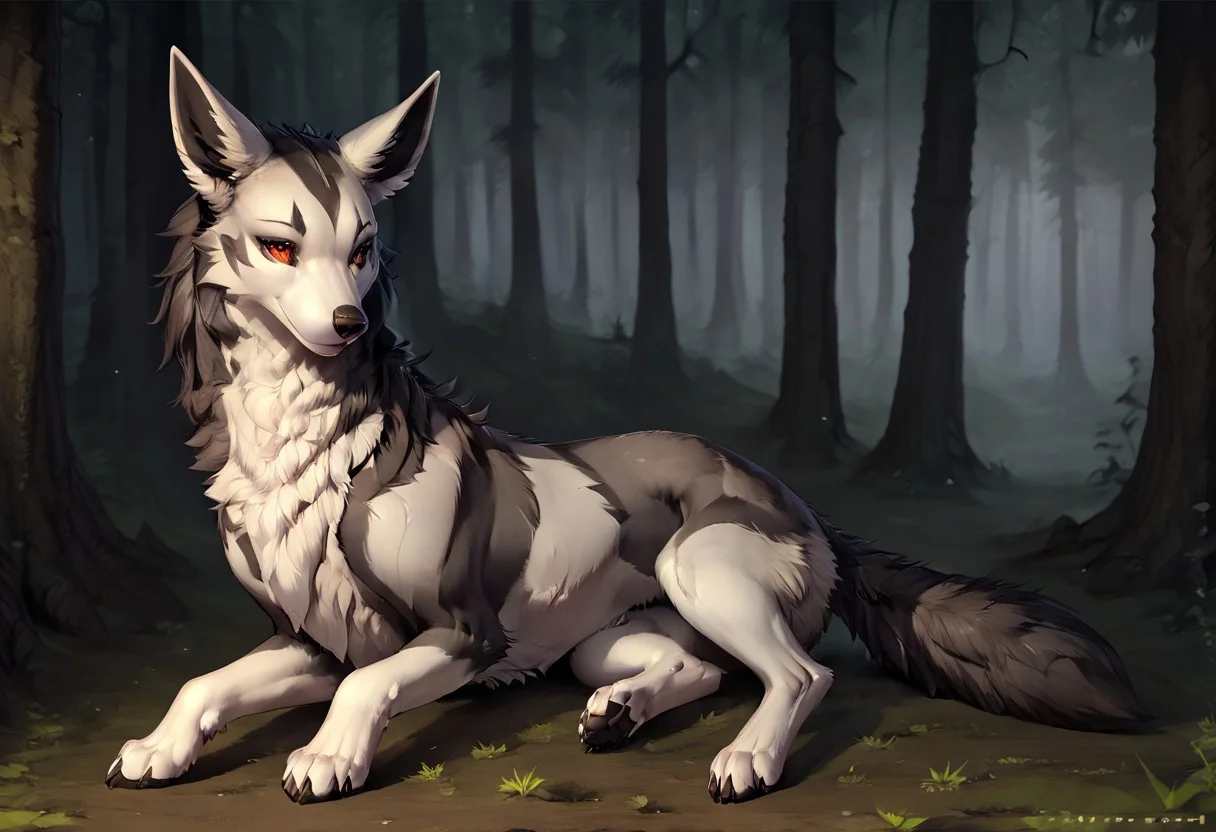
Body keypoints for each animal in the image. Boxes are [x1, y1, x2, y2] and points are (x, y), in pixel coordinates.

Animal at [106, 47, 1150, 806]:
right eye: (281, 247)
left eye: (361, 250)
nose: (350, 326)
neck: (306, 450)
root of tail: (803, 504)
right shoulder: (315, 641)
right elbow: (204, 684)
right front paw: (157, 747)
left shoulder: (460, 633)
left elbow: (369, 688)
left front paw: (328, 758)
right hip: (600, 640)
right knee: (701, 671)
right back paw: (620, 712)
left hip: (699, 568)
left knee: (802, 675)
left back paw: (748, 762)